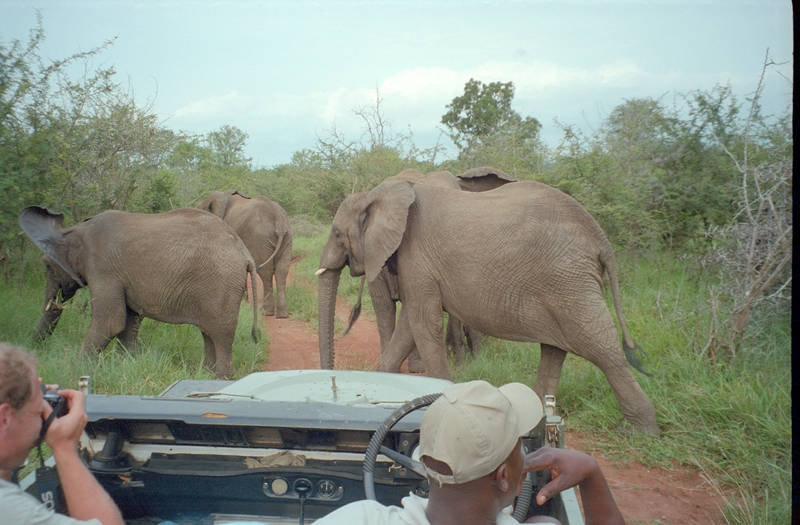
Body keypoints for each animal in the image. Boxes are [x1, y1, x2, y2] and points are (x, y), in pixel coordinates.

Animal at [18, 203, 260, 378]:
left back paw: (220, 381)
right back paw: (205, 376)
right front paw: (125, 367)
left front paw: (76, 371)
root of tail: (245, 254)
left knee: (221, 336)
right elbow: (128, 324)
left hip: (222, 284)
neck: (74, 231)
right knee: (209, 334)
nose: (33, 350)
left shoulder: (103, 270)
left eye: (47, 266)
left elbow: (110, 323)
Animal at [198, 190, 294, 318]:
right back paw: (282, 315)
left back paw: (266, 312)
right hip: (287, 238)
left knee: (266, 272)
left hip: (259, 238)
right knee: (281, 271)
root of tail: (278, 220)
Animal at [316, 177, 660, 434]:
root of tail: (601, 239)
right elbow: (410, 329)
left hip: (570, 282)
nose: (330, 381)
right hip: (563, 284)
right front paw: (381, 386)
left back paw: (639, 432)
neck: (379, 194)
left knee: (602, 348)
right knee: (555, 349)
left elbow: (424, 325)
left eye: (337, 233)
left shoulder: (417, 257)